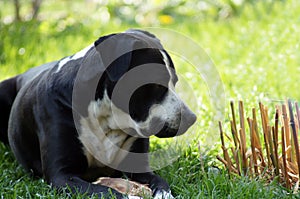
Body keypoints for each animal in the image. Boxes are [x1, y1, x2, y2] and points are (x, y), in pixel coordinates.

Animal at [0, 28, 197, 198]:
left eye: (175, 81)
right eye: (156, 83)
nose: (191, 119)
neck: (105, 116)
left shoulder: (138, 166)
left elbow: (161, 182)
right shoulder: (62, 176)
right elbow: (106, 192)